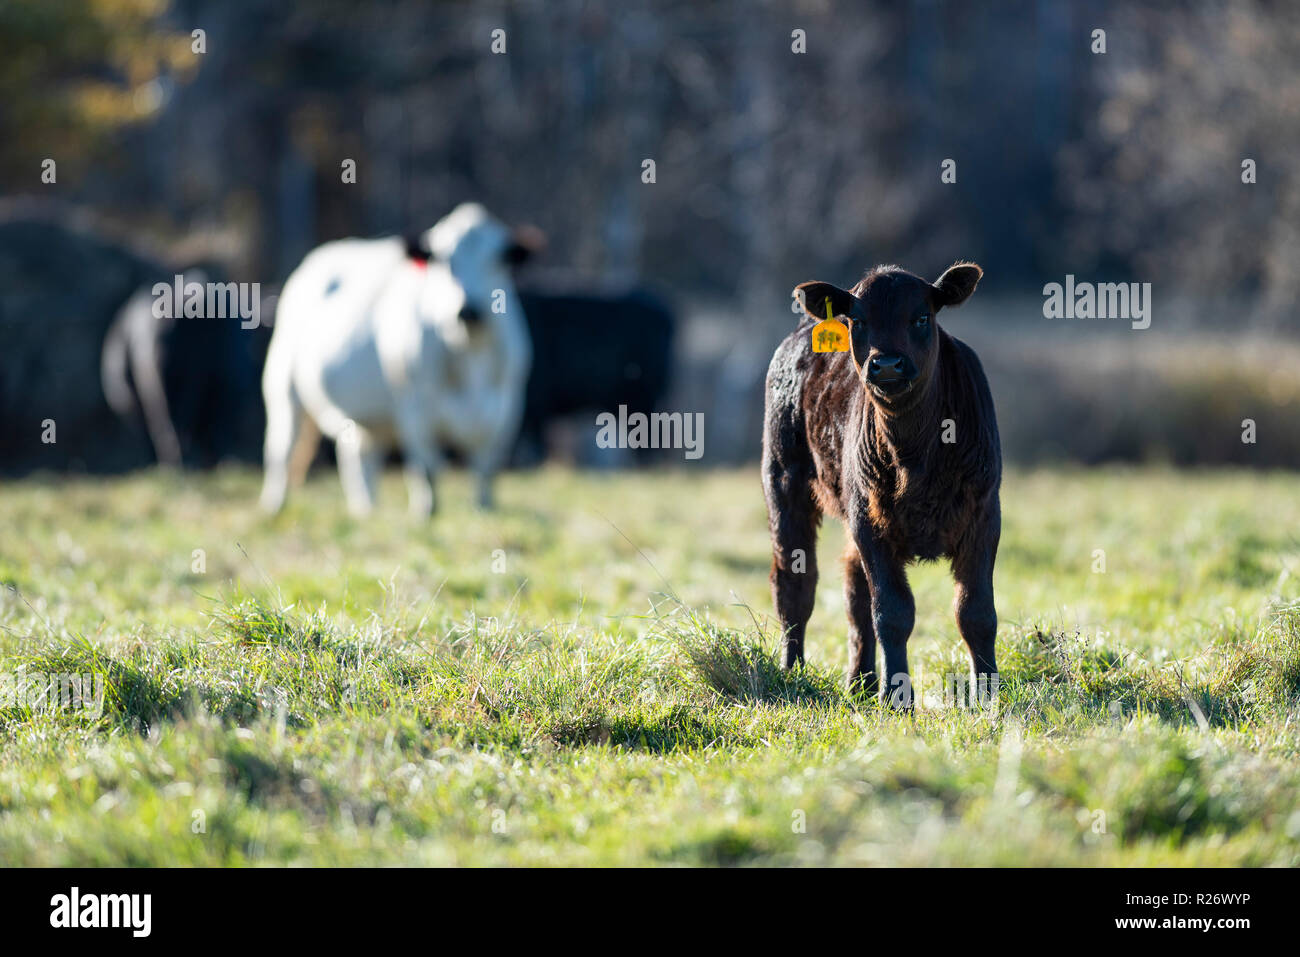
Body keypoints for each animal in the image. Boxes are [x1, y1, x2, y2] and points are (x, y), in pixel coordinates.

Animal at [261, 202, 535, 514]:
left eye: (498, 261)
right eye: (443, 261)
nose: (468, 309)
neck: (469, 352)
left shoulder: (507, 406)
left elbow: (486, 471)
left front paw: (483, 509)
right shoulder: (414, 406)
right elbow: (426, 469)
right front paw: (426, 513)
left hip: (363, 417)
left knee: (358, 457)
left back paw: (366, 511)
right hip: (282, 388)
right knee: (281, 451)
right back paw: (274, 507)